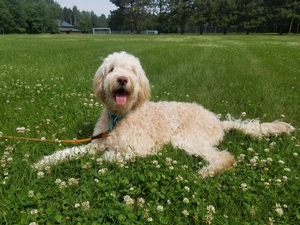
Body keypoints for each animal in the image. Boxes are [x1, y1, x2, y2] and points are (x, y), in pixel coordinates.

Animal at [33, 51, 296, 178]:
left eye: (132, 70)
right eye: (112, 68)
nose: (122, 79)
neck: (120, 117)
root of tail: (218, 121)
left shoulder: (140, 149)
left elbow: (112, 156)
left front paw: (107, 157)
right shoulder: (94, 144)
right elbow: (68, 152)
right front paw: (43, 162)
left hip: (186, 138)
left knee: (225, 157)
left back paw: (206, 173)